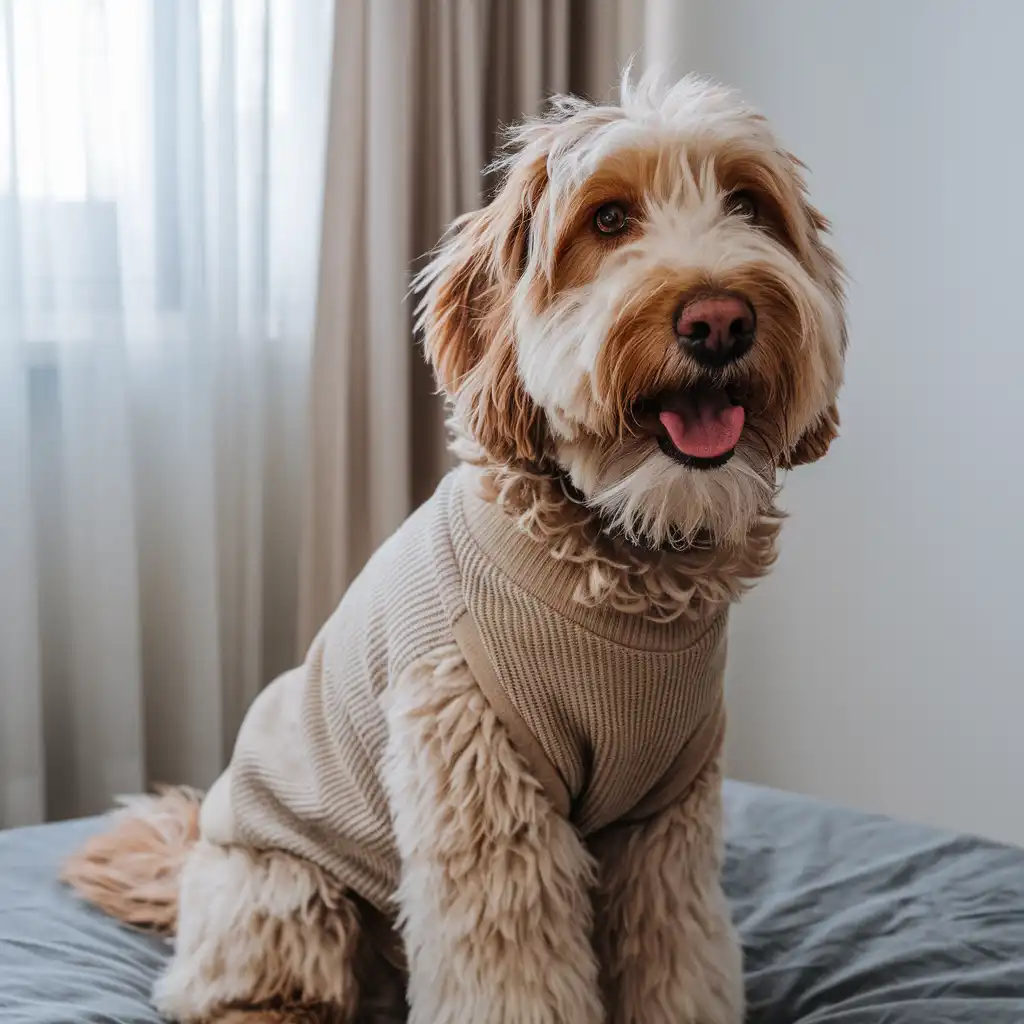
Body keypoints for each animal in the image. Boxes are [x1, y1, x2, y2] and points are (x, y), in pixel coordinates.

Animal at [66, 74, 847, 1024]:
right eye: (609, 219)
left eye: (747, 205)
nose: (720, 319)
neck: (622, 570)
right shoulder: (483, 786)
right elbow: (514, 973)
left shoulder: (668, 816)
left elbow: (675, 952)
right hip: (283, 885)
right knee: (237, 985)